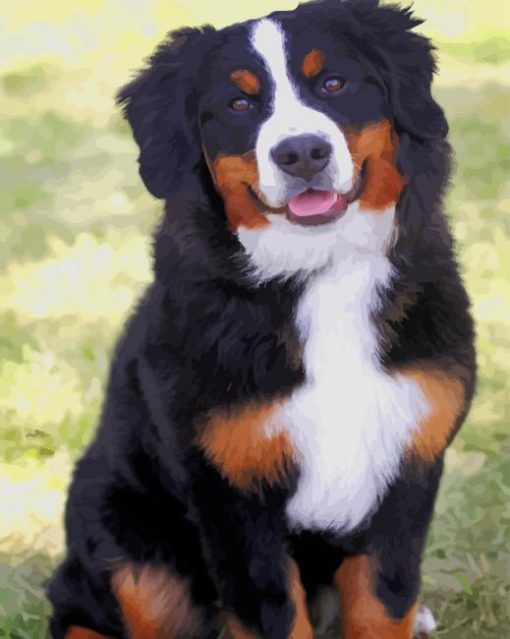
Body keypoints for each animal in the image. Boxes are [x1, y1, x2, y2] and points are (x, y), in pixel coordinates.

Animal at [45, 1, 476, 639]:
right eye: (239, 104)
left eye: (333, 84)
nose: (301, 153)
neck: (320, 272)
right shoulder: (233, 495)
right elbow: (272, 612)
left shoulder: (408, 468)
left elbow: (384, 599)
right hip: (126, 542)